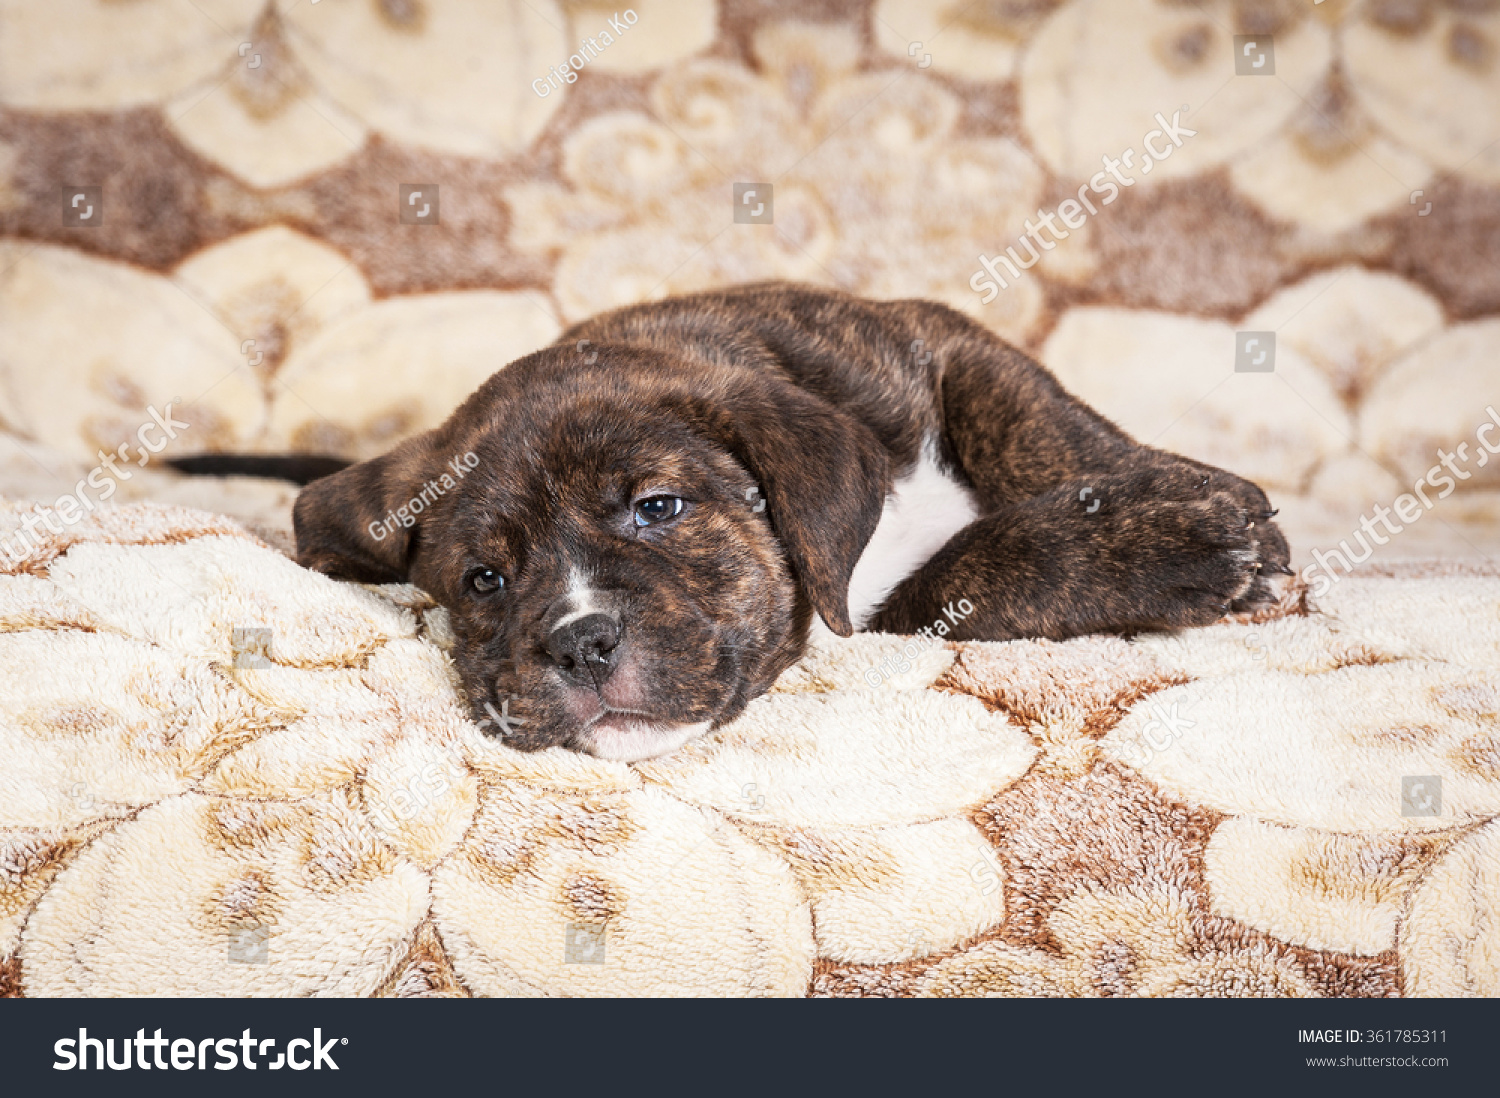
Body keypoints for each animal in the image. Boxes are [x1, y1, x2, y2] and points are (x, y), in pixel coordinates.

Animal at [267, 283, 1278, 759]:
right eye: (485, 580)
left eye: (658, 508)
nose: (579, 643)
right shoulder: (889, 605)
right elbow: (970, 568)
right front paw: (1172, 547)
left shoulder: (941, 343)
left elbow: (1045, 427)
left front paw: (1176, 498)